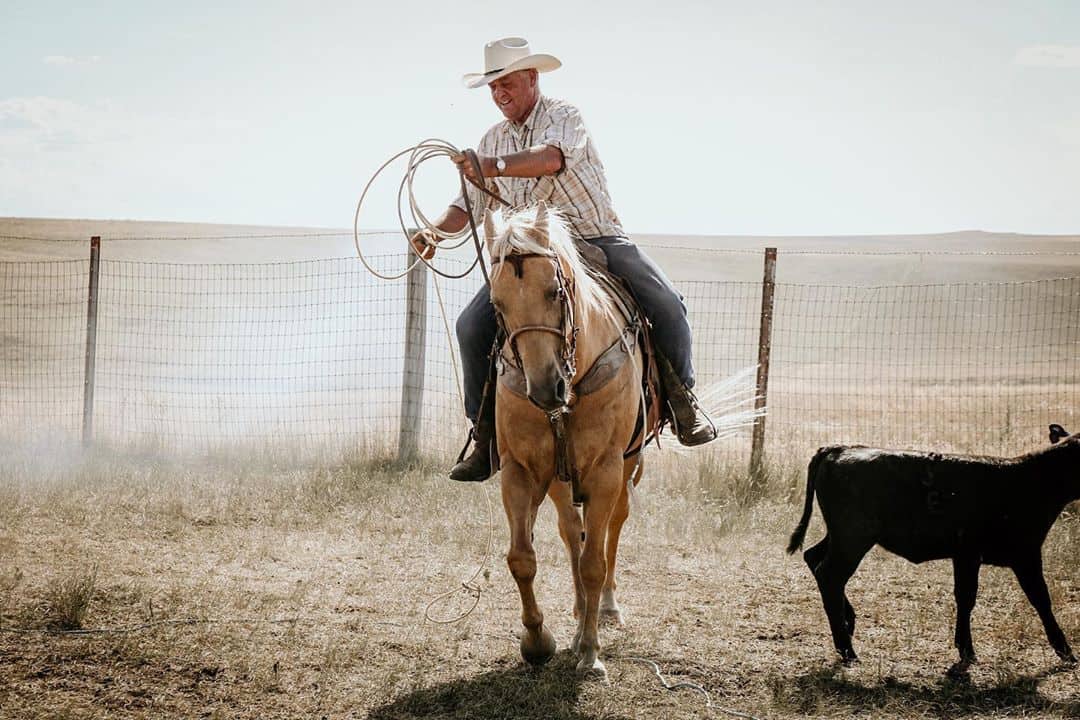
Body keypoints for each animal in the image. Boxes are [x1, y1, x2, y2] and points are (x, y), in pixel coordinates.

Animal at [482, 200, 649, 680]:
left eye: (555, 292)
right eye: (497, 304)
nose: (544, 389)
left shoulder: (607, 470)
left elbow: (594, 562)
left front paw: (591, 652)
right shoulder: (519, 471)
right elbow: (522, 558)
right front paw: (538, 641)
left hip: (628, 466)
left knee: (611, 528)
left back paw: (605, 608)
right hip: (560, 478)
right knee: (571, 530)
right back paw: (577, 617)